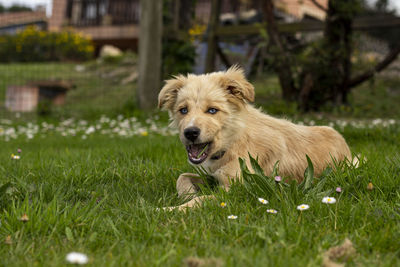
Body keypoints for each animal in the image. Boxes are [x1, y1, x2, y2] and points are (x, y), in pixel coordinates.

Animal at [158, 66, 352, 210]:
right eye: (183, 110)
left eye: (212, 110)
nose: (190, 133)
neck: (233, 142)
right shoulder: (212, 177)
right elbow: (182, 177)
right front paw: (187, 195)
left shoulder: (237, 190)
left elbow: (202, 199)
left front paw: (170, 210)